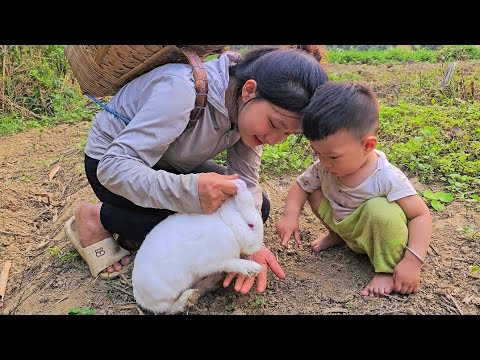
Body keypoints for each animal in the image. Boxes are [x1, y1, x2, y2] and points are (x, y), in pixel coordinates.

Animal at [132, 179, 262, 314]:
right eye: (250, 225)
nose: (257, 248)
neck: (227, 224)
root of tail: (140, 297)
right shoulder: (212, 261)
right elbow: (230, 263)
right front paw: (252, 269)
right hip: (165, 292)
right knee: (170, 308)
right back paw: (188, 299)